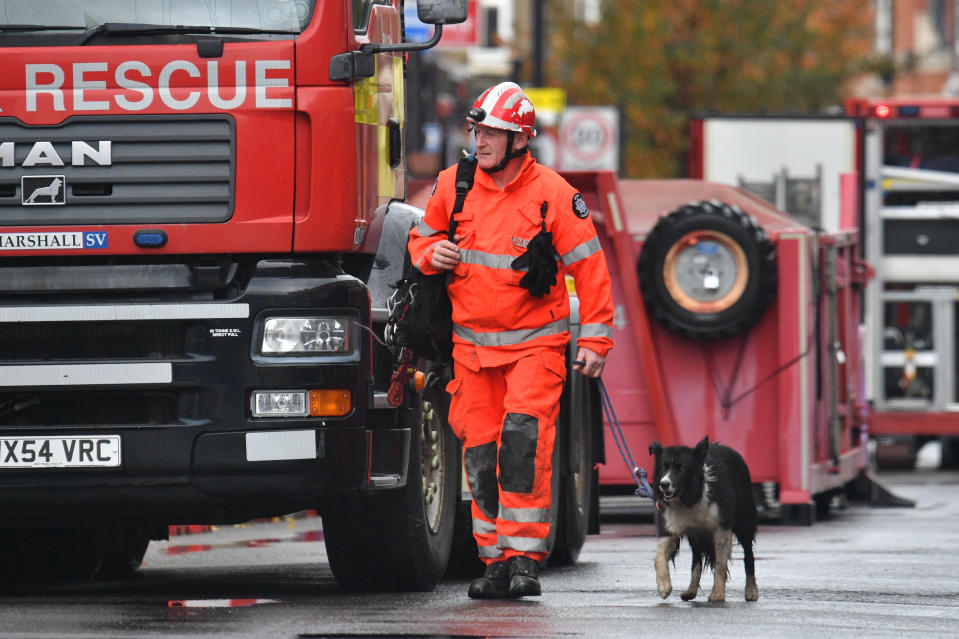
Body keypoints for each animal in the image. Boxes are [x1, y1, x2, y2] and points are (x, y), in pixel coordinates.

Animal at [652, 438, 756, 604]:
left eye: (682, 468)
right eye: (663, 466)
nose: (664, 484)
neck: (689, 497)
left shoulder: (721, 527)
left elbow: (720, 563)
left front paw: (717, 594)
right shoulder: (671, 526)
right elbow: (659, 557)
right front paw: (663, 587)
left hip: (744, 519)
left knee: (748, 554)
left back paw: (751, 591)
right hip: (696, 535)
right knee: (696, 562)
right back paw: (690, 591)